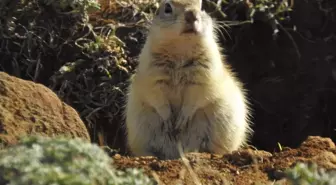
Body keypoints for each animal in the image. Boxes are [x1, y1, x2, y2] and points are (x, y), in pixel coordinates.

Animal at [124, 0, 252, 159]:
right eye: (167, 8)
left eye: (203, 7)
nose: (192, 15)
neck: (181, 47)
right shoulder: (152, 75)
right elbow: (158, 99)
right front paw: (168, 120)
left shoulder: (204, 76)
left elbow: (194, 99)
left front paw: (181, 121)